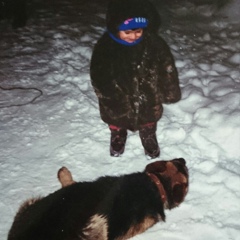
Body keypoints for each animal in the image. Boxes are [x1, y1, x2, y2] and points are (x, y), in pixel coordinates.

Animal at [7, 158, 188, 239]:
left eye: (177, 163)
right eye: (185, 171)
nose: (184, 160)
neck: (156, 184)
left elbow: (71, 183)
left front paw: (64, 175)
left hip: (29, 205)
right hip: (96, 225)